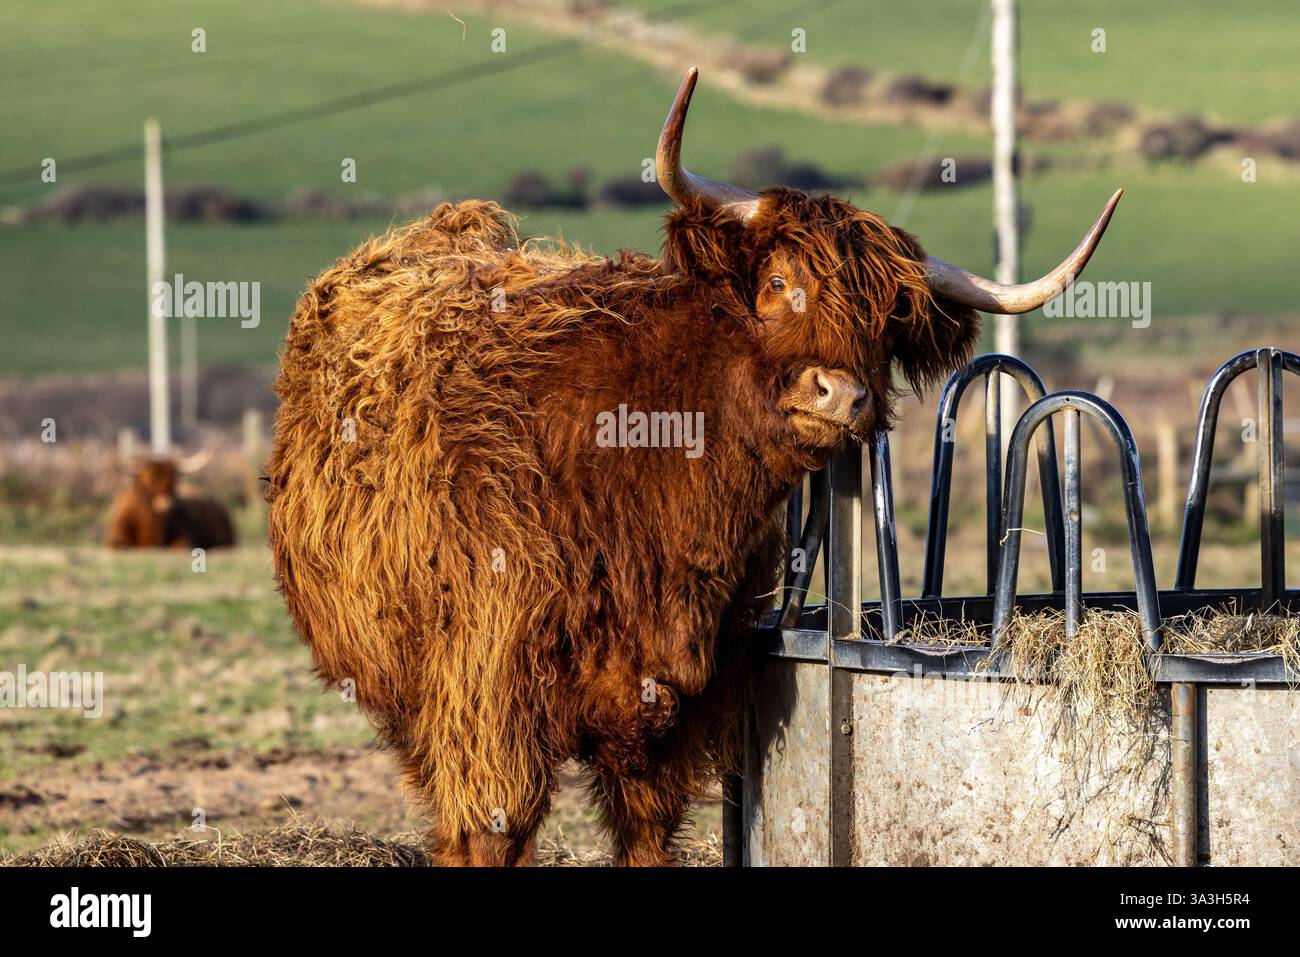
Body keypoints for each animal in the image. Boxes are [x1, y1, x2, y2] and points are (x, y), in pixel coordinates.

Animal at [266, 69, 1120, 865]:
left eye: (883, 322)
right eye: (777, 283)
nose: (840, 394)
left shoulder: (674, 704)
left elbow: (645, 830)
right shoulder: (487, 694)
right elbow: (489, 829)